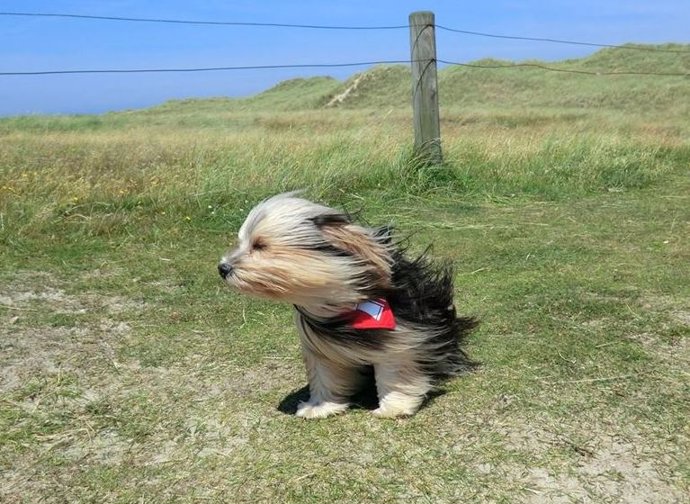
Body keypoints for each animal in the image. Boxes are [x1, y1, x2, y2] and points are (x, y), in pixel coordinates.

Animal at [218, 193, 476, 418]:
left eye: (260, 245)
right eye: (241, 243)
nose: (222, 268)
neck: (341, 302)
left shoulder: (403, 336)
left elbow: (395, 371)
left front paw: (393, 407)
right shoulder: (320, 348)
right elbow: (325, 375)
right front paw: (320, 407)